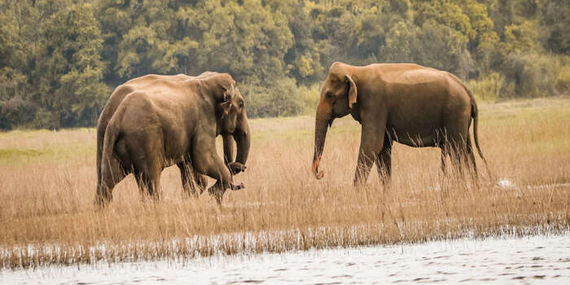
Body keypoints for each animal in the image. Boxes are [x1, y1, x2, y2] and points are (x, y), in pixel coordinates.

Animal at [95, 70, 248, 204]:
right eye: (241, 104)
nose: (242, 169)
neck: (205, 80)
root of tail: (116, 118)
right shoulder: (203, 119)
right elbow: (203, 159)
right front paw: (211, 192)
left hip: (110, 144)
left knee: (109, 181)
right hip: (146, 140)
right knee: (151, 179)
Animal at [310, 61, 488, 184]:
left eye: (329, 95)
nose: (321, 173)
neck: (355, 70)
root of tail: (467, 90)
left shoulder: (375, 103)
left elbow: (371, 145)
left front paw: (356, 193)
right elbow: (383, 148)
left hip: (455, 113)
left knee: (456, 150)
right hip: (460, 117)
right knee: (467, 149)